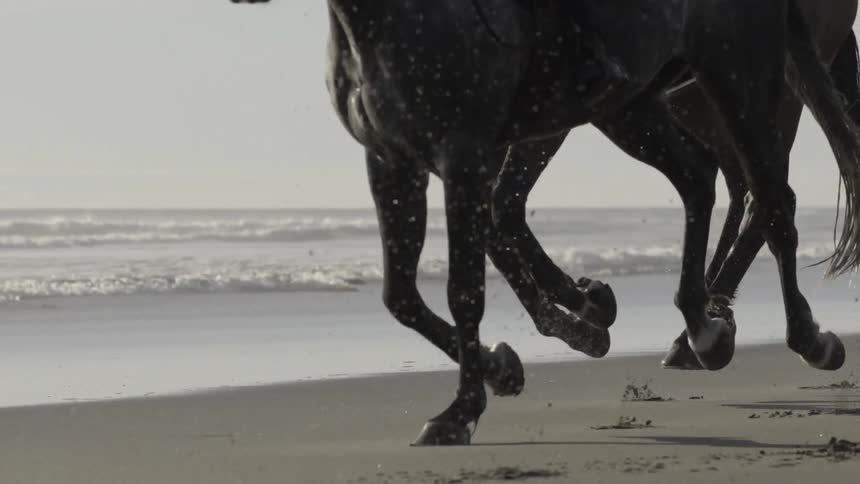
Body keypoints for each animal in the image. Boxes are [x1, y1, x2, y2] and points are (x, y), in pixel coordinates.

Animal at [491, 0, 860, 370]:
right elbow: (499, 218)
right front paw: (579, 317)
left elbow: (502, 209)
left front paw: (585, 309)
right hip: (707, 105)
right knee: (745, 190)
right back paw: (708, 326)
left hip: (759, 91)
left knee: (763, 196)